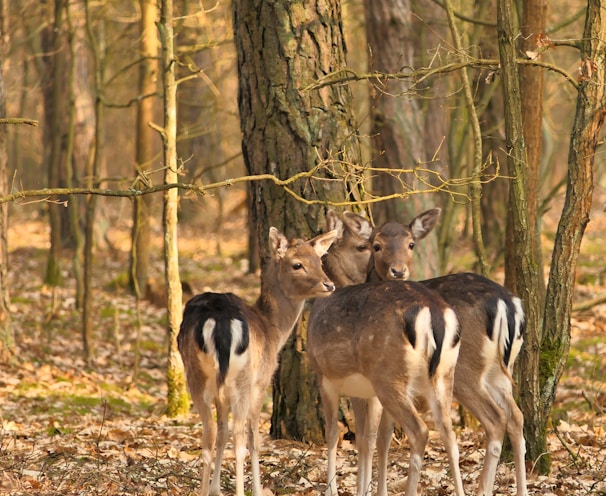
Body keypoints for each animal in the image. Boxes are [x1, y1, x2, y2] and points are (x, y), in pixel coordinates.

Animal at [178, 228, 340, 496]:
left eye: (319, 261)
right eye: (297, 264)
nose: (329, 284)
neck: (272, 329)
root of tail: (220, 321)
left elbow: (222, 431)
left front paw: (215, 488)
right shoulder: (262, 381)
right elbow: (255, 437)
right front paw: (256, 488)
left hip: (196, 374)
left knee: (210, 432)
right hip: (243, 378)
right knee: (240, 436)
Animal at [308, 209, 466, 496]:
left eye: (411, 244)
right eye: (375, 245)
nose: (398, 270)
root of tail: (434, 313)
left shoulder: (328, 377)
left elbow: (339, 435)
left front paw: (338, 490)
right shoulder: (366, 390)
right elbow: (375, 439)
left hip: (388, 375)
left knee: (420, 431)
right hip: (443, 374)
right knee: (449, 433)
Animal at [326, 209, 528, 496]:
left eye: (411, 244)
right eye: (377, 245)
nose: (398, 270)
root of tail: (507, 305)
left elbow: (379, 437)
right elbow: (384, 437)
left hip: (465, 371)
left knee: (496, 419)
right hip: (500, 372)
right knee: (516, 416)